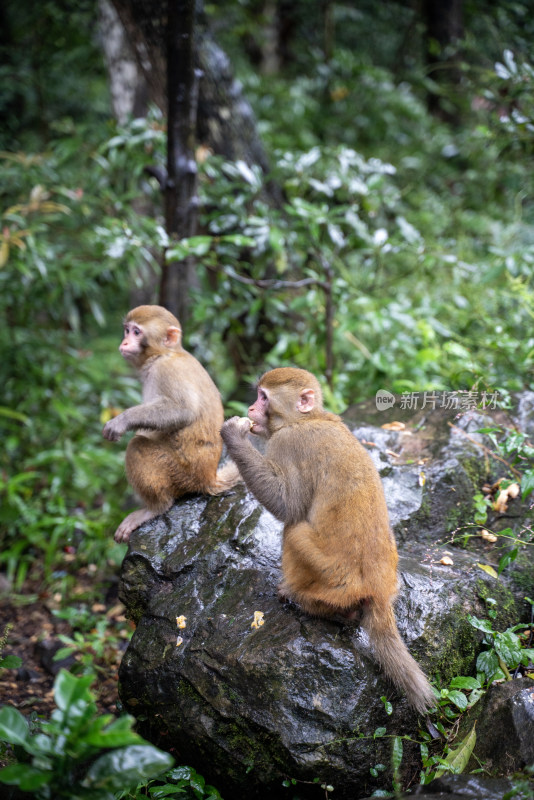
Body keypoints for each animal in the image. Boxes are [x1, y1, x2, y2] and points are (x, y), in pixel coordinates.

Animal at [102, 306, 241, 544]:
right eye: (127, 330)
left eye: (136, 332)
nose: (125, 342)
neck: (164, 354)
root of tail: (208, 477)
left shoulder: (167, 370)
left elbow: (183, 410)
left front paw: (122, 420)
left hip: (180, 473)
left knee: (137, 446)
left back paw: (156, 507)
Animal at [221, 368, 436, 712]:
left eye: (263, 397)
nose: (252, 409)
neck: (307, 418)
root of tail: (377, 590)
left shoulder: (287, 443)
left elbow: (288, 504)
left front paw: (233, 434)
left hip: (329, 576)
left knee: (294, 530)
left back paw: (302, 598)